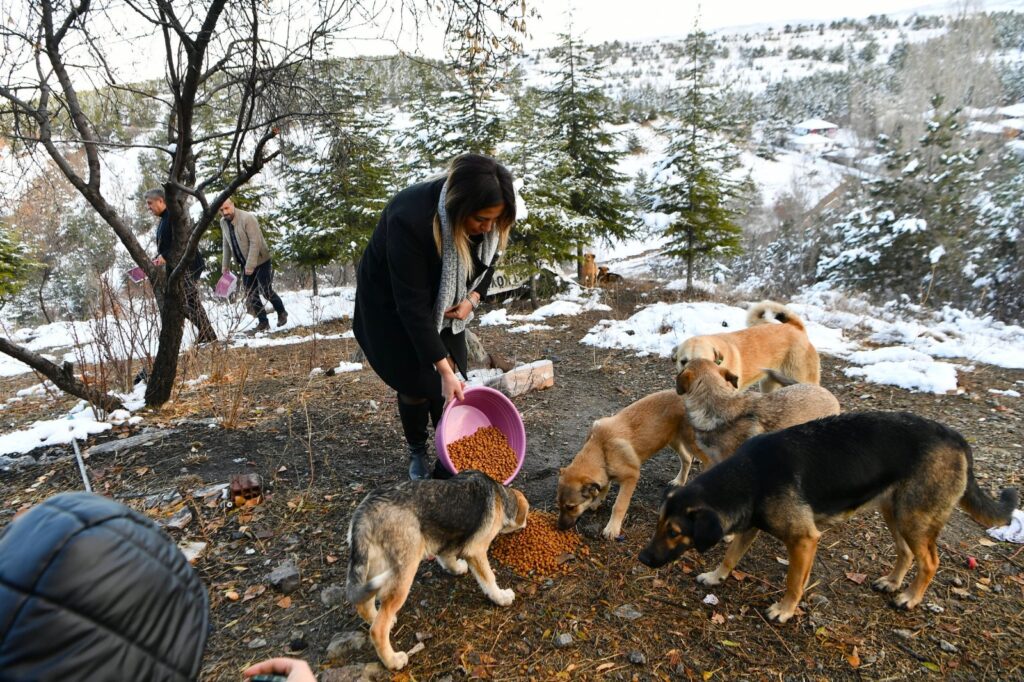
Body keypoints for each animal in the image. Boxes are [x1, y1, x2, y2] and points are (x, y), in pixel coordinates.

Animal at [350, 471, 528, 667]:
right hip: (403, 574)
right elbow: (489, 579)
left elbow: (447, 558)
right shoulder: (477, 551)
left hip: (373, 570)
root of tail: (363, 515)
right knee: (377, 629)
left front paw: (456, 568)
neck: (499, 494)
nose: (526, 524)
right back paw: (393, 660)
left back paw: (379, 620)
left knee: (364, 605)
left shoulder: (446, 543)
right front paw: (501, 597)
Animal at [557, 387, 708, 536]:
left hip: (693, 442)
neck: (601, 449)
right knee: (687, 458)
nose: (559, 527)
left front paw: (612, 528)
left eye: (571, 507)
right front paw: (597, 501)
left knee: (707, 460)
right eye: (558, 505)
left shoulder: (631, 477)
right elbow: (604, 486)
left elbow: (619, 505)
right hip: (673, 439)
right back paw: (679, 481)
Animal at [638, 409, 1015, 622]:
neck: (750, 477)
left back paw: (909, 597)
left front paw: (785, 610)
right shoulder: (750, 525)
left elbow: (794, 582)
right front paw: (716, 577)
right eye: (658, 525)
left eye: (675, 532)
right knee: (906, 553)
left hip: (913, 517)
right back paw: (892, 582)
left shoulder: (804, 540)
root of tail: (958, 439)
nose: (643, 558)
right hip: (894, 512)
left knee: (930, 562)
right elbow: (730, 556)